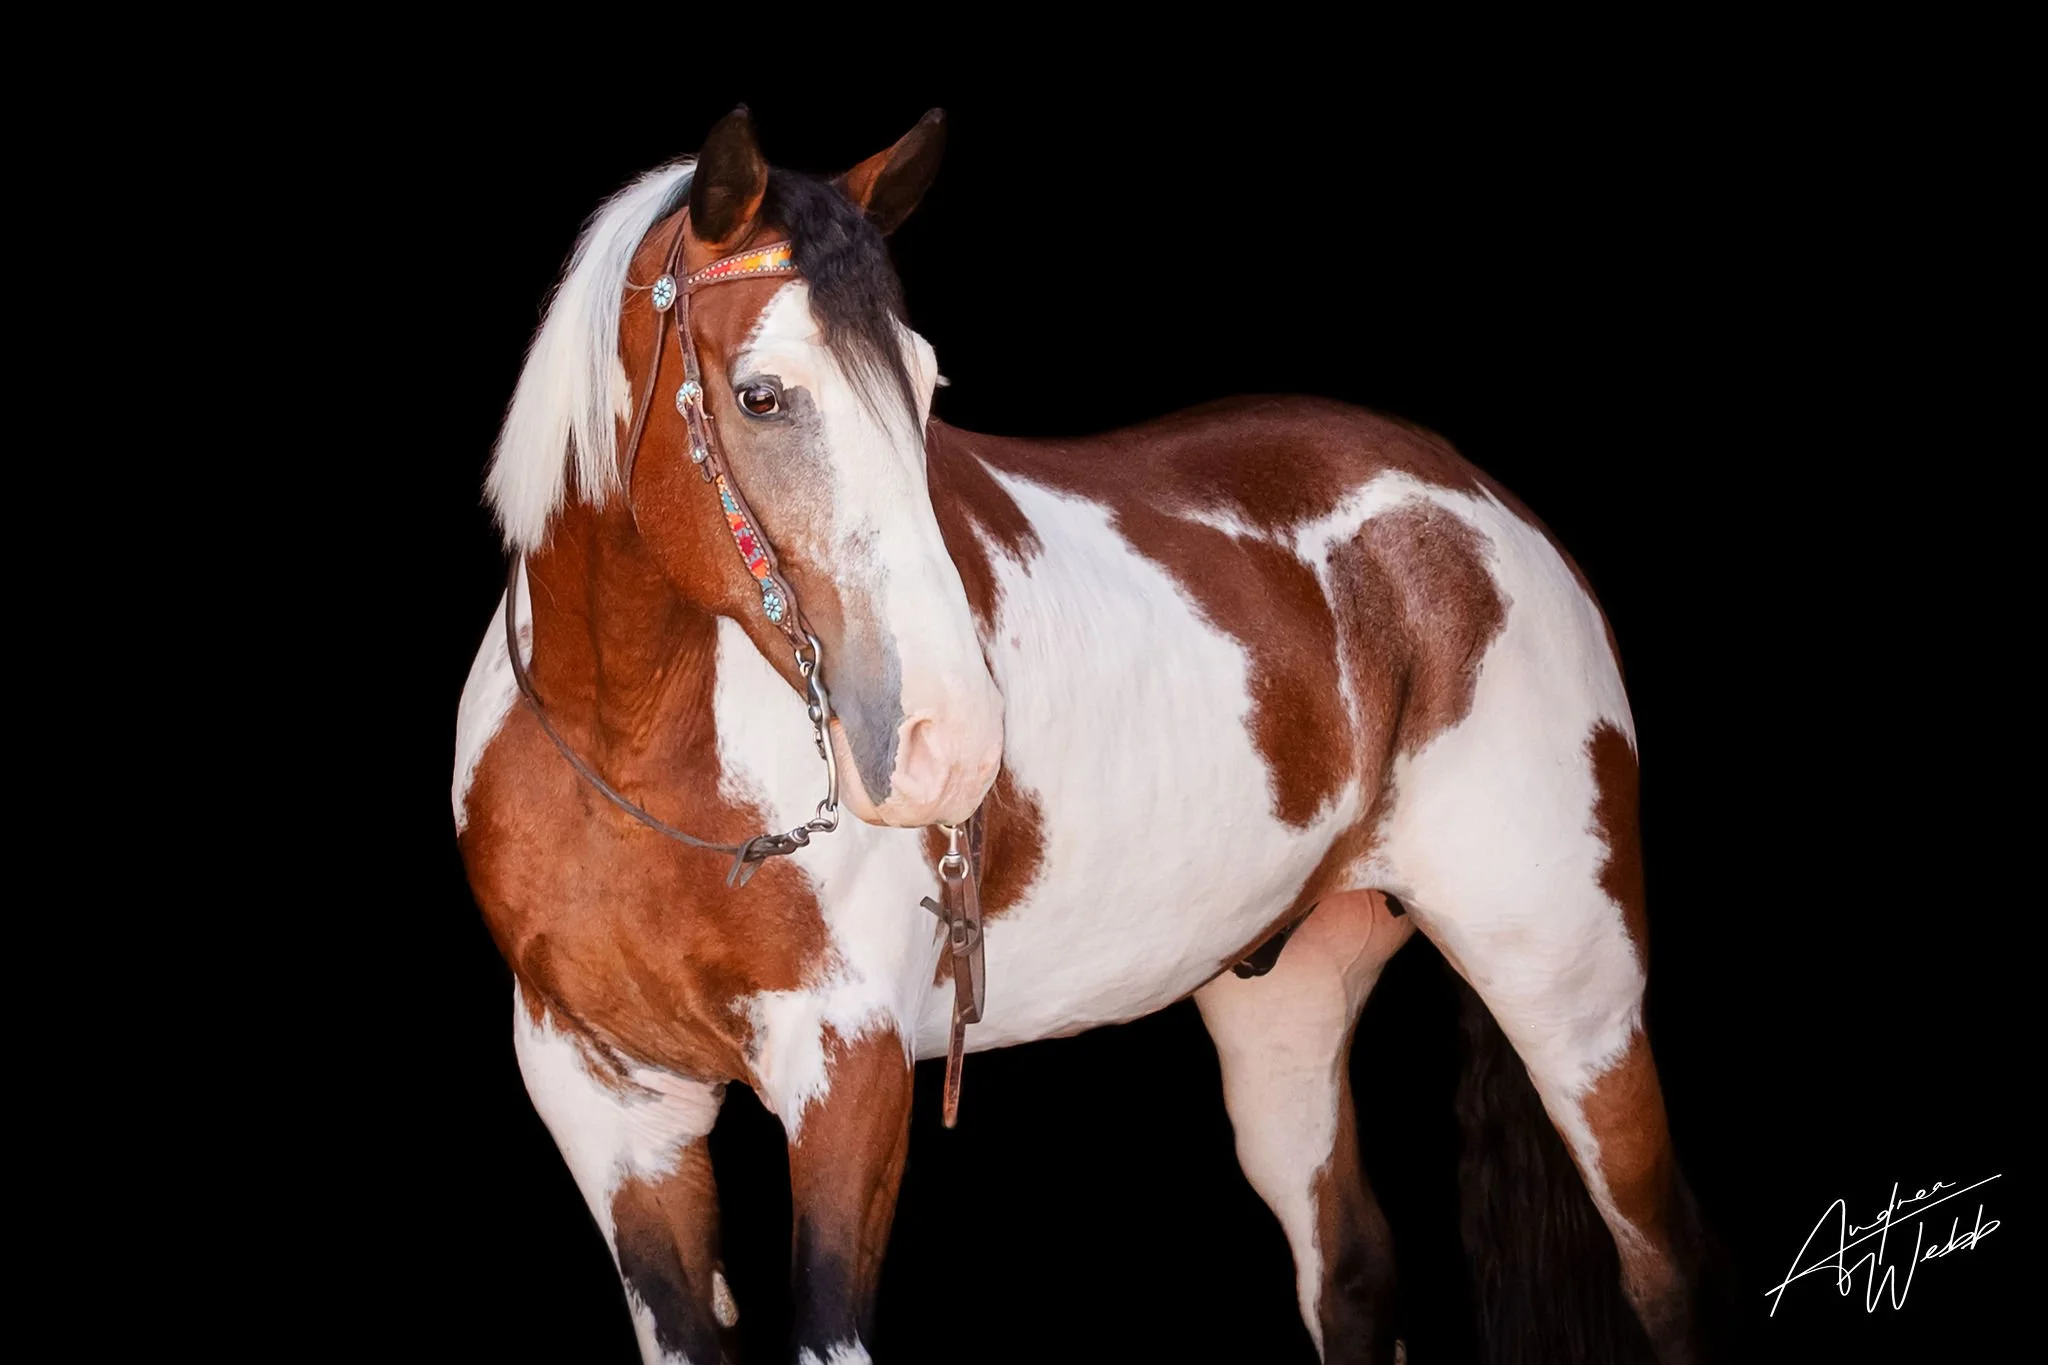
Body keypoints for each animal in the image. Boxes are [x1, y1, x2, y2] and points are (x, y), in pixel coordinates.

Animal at [452, 108, 1716, 1364]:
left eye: (926, 384)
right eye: (760, 396)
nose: (951, 744)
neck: (629, 746)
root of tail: (1478, 501)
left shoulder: (848, 1071)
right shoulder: (607, 1099)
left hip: (1571, 985)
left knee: (1662, 1268)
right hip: (1290, 992)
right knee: (1350, 1269)